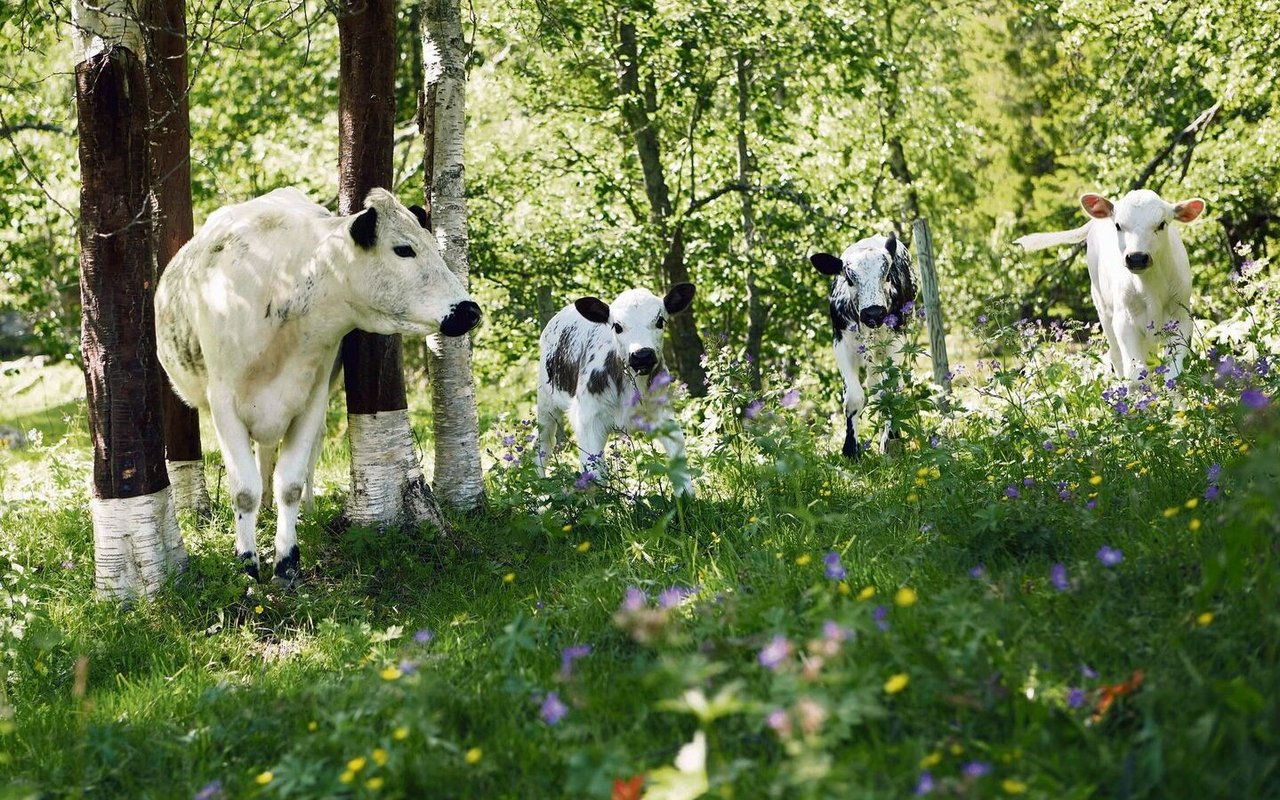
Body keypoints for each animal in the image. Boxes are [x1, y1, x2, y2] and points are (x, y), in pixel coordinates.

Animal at [154, 186, 481, 581]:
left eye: (433, 245)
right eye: (404, 249)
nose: (469, 310)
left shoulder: (311, 399)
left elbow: (291, 485)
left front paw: (287, 562)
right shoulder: (224, 404)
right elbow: (244, 491)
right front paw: (248, 565)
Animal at [540, 280, 701, 494]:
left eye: (660, 321)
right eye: (617, 326)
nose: (642, 355)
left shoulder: (661, 413)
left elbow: (679, 455)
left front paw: (687, 497)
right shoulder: (587, 420)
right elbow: (594, 474)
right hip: (545, 404)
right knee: (542, 446)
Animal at [808, 232, 921, 455]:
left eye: (887, 276)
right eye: (850, 279)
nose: (874, 313)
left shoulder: (896, 341)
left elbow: (889, 390)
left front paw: (891, 442)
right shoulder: (841, 342)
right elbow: (854, 396)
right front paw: (850, 450)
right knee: (873, 384)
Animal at [1013, 188, 1203, 378]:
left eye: (1161, 224)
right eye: (1118, 225)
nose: (1137, 258)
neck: (1149, 287)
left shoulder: (1181, 317)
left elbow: (1174, 374)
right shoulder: (1124, 320)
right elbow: (1136, 374)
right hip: (1102, 307)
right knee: (1116, 354)